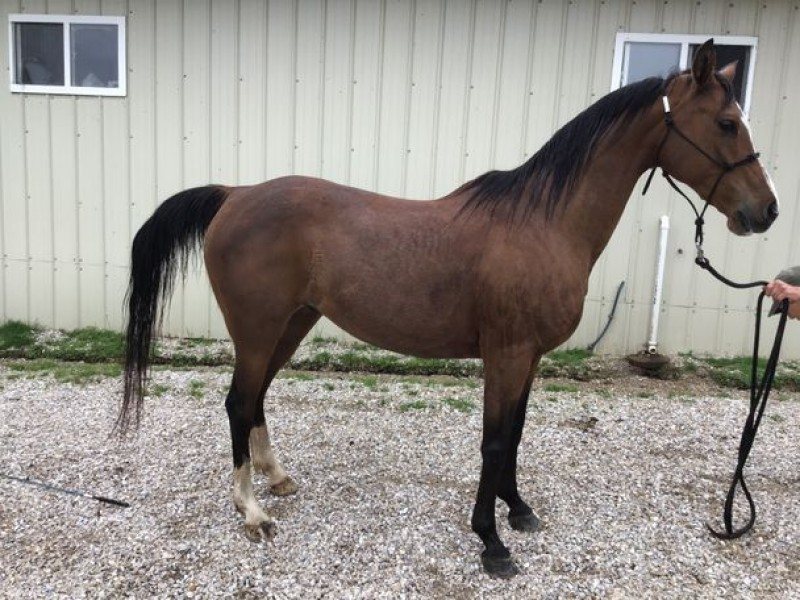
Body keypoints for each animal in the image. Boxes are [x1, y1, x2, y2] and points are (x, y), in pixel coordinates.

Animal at [119, 40, 778, 577]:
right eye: (726, 123)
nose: (766, 211)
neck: (544, 223)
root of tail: (235, 196)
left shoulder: (528, 357)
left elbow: (515, 433)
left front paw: (518, 510)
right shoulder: (506, 353)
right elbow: (493, 442)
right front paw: (491, 543)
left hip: (292, 324)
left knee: (254, 399)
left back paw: (276, 479)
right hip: (258, 330)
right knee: (238, 402)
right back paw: (252, 511)